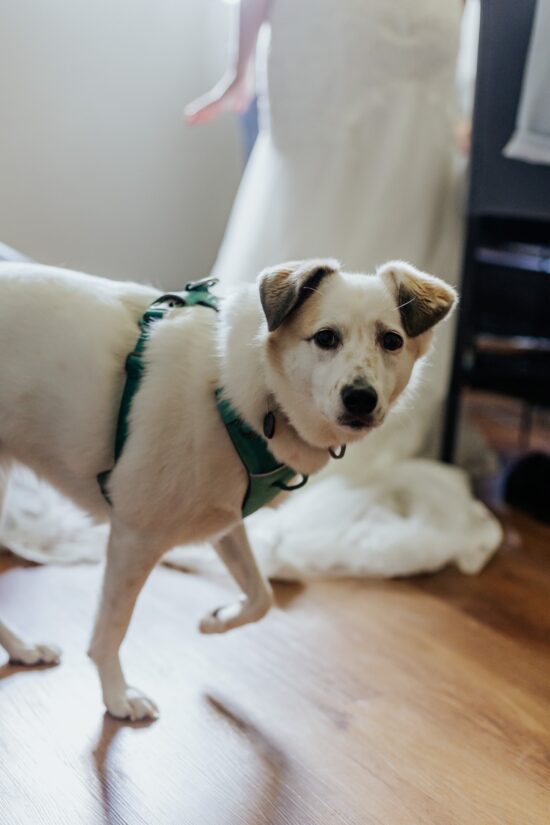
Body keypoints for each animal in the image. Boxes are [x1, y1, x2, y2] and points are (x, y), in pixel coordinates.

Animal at [0, 258, 458, 716]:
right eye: (326, 337)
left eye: (392, 341)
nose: (360, 398)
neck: (244, 392)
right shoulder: (135, 536)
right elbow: (111, 630)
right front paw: (116, 697)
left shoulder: (224, 521)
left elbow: (262, 596)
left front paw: (217, 620)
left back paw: (23, 649)